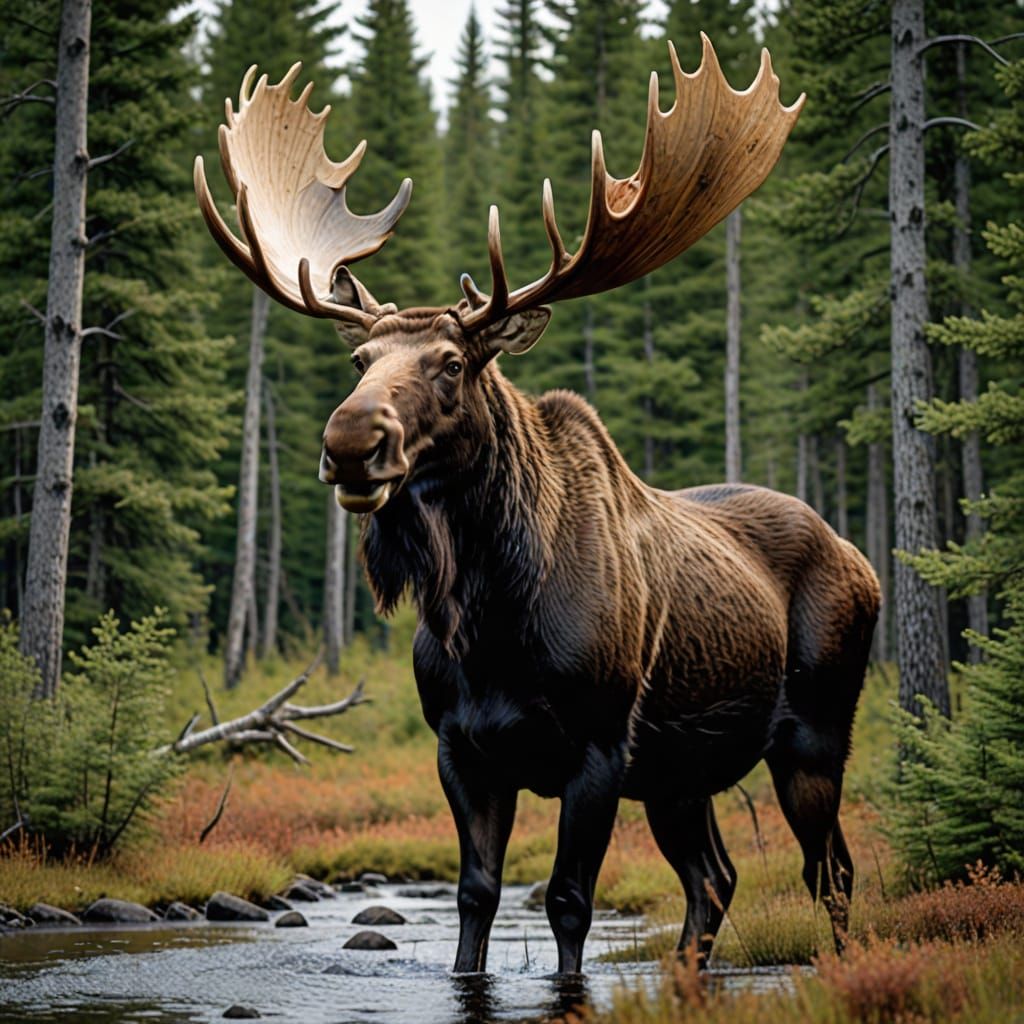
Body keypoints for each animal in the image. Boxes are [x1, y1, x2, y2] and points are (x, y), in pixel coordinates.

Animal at [196, 37, 881, 974]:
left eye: (452, 362)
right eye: (360, 360)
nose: (349, 440)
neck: (490, 621)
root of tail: (865, 563)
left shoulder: (596, 748)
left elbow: (566, 902)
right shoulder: (462, 747)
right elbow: (475, 896)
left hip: (813, 734)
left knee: (832, 870)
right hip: (681, 772)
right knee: (717, 878)